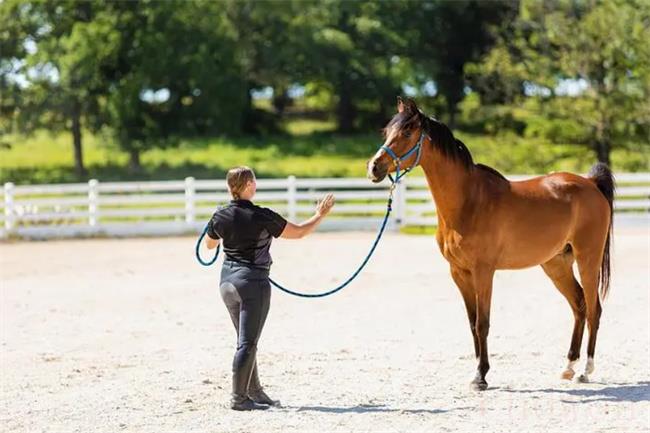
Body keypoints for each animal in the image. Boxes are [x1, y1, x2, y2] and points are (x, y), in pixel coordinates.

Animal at [368, 96, 612, 390]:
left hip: (588, 259)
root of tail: (591, 183)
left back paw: (585, 371)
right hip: (557, 264)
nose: (374, 167)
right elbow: (472, 323)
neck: (468, 202)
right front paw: (477, 370)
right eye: (386, 131)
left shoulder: (483, 271)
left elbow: (483, 323)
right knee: (579, 305)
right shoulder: (459, 273)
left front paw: (480, 376)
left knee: (594, 309)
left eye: (406, 132)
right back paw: (568, 367)